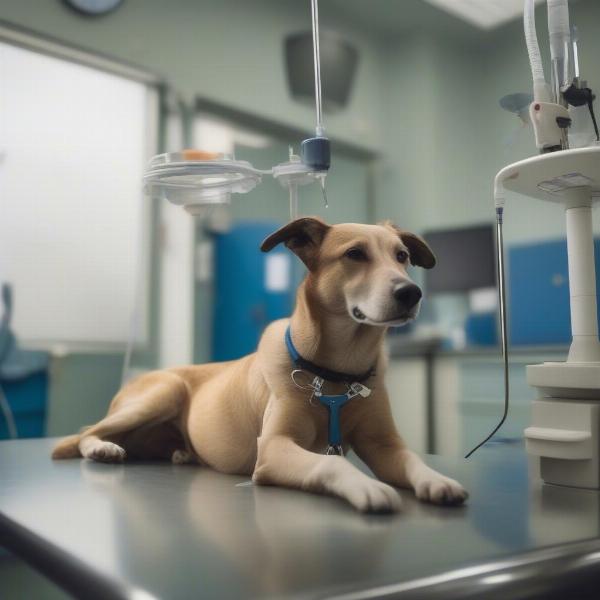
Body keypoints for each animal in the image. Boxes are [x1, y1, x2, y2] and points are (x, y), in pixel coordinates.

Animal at [52, 218, 468, 512]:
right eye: (355, 254)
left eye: (401, 256)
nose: (410, 292)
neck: (335, 372)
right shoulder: (273, 448)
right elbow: (332, 465)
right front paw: (366, 486)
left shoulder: (383, 445)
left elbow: (411, 460)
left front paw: (437, 480)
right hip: (162, 393)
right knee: (85, 431)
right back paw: (101, 448)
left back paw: (180, 452)